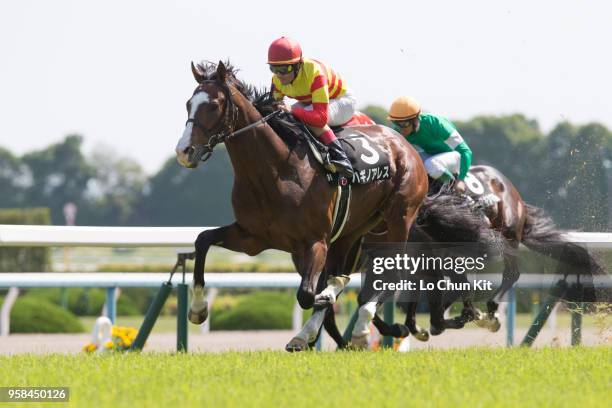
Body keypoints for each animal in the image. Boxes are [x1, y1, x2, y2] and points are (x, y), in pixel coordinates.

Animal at [175, 60, 428, 350]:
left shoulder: (315, 241)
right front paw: (198, 309)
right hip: (351, 232)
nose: (184, 151)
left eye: (214, 105)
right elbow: (203, 240)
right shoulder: (252, 238)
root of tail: (404, 144)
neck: (276, 172)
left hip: (400, 217)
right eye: (188, 104)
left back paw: (365, 327)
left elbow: (308, 294)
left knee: (393, 272)